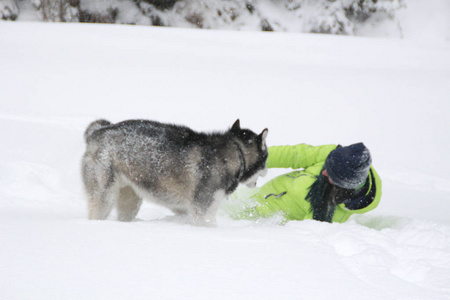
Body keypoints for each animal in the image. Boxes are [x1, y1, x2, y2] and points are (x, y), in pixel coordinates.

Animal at [81, 118, 268, 224]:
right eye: (266, 157)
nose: (267, 171)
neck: (236, 151)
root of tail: (97, 132)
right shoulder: (203, 209)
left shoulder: (184, 208)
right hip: (105, 194)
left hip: (130, 199)